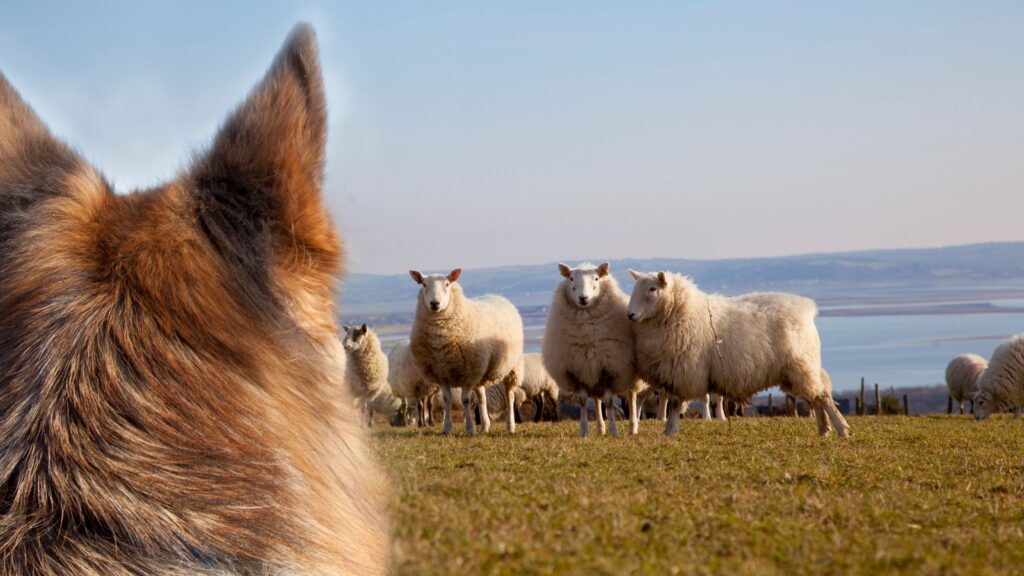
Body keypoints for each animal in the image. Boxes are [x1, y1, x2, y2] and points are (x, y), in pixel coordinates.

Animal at [407, 266, 524, 432]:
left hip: (511, 365)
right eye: (423, 284)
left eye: (447, 284)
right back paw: (485, 426)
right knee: (482, 396)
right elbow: (447, 399)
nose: (434, 303)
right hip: (481, 367)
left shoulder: (468, 373)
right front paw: (447, 428)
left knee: (509, 394)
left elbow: (466, 400)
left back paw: (510, 426)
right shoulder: (441, 372)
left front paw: (469, 428)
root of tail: (497, 295)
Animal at [540, 261, 643, 434]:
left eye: (596, 278)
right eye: (571, 278)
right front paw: (583, 430)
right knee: (596, 400)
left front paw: (614, 430)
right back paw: (600, 428)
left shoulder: (610, 368)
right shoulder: (578, 368)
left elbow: (609, 401)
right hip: (593, 376)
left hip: (629, 375)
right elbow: (583, 400)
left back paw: (633, 427)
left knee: (631, 396)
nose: (583, 298)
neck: (586, 332)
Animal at [626, 268, 851, 434]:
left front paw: (670, 431)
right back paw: (824, 429)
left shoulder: (686, 371)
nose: (630, 315)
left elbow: (675, 404)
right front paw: (668, 431)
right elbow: (674, 402)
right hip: (797, 371)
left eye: (652, 289)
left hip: (802, 365)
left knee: (823, 397)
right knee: (816, 397)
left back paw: (842, 429)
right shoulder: (676, 371)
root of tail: (806, 309)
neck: (681, 311)